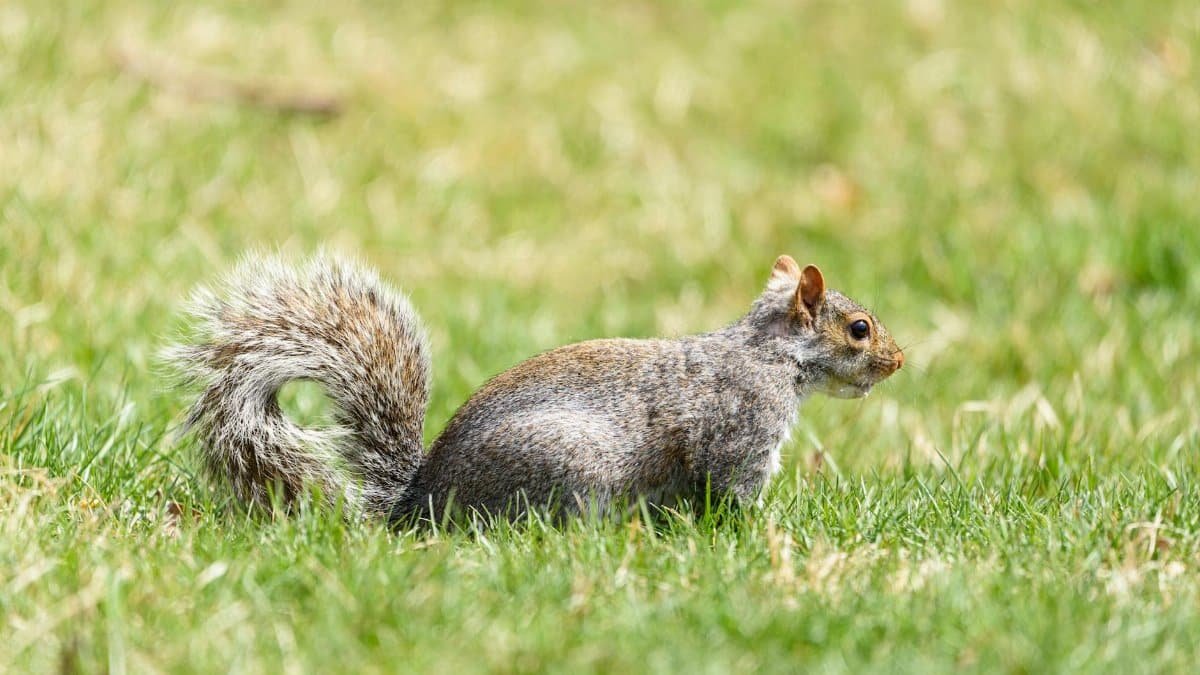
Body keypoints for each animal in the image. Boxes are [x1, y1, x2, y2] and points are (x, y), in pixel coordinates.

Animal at [165, 253, 903, 522]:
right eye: (859, 328)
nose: (898, 361)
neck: (771, 355)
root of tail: (420, 504)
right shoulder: (740, 433)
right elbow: (733, 494)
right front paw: (763, 531)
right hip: (570, 468)